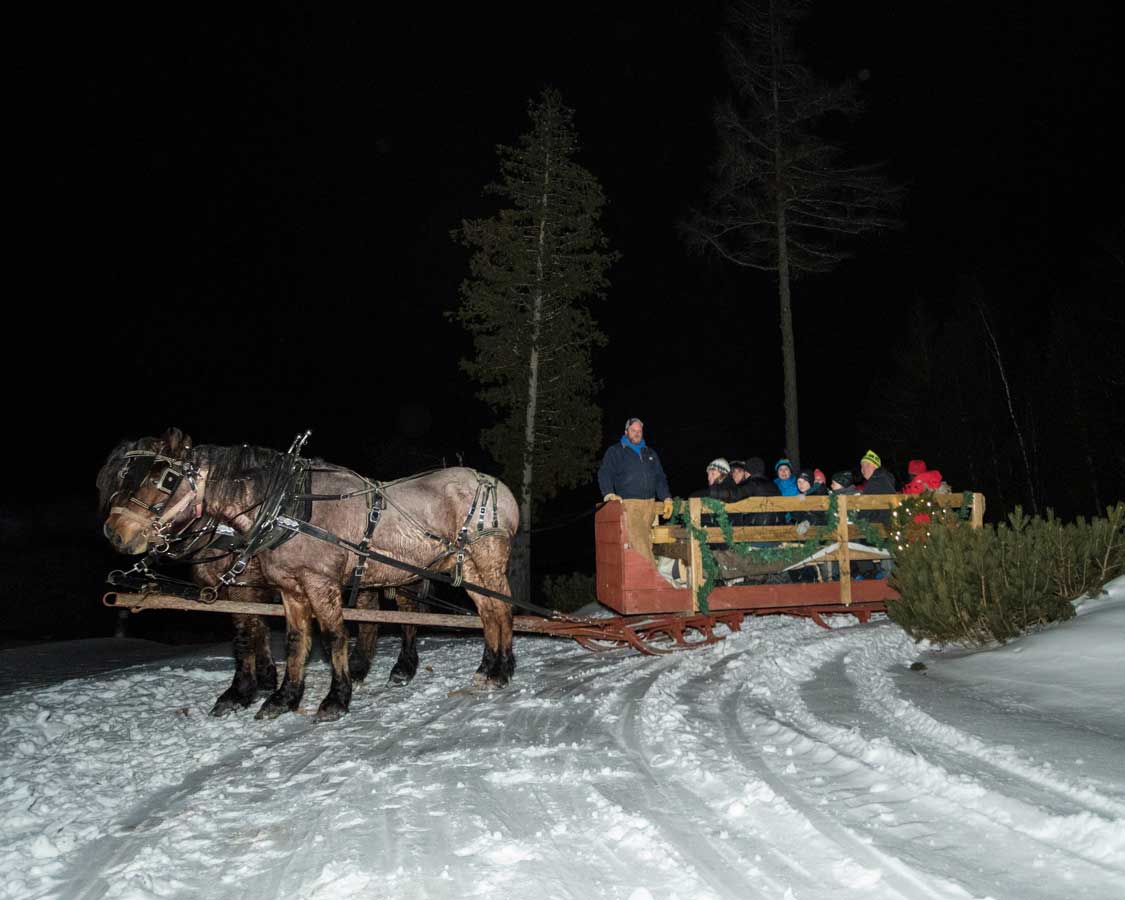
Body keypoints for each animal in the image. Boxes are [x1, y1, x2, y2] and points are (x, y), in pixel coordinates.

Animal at [101, 432, 517, 720]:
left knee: (502, 610)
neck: (288, 510)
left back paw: (500, 670)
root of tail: (498, 487)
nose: (116, 533)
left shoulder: (317, 583)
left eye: (165, 480)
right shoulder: (290, 588)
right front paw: (282, 697)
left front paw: (335, 699)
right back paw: (487, 667)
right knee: (487, 613)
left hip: (486, 561)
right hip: (464, 568)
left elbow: (331, 637)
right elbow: (294, 640)